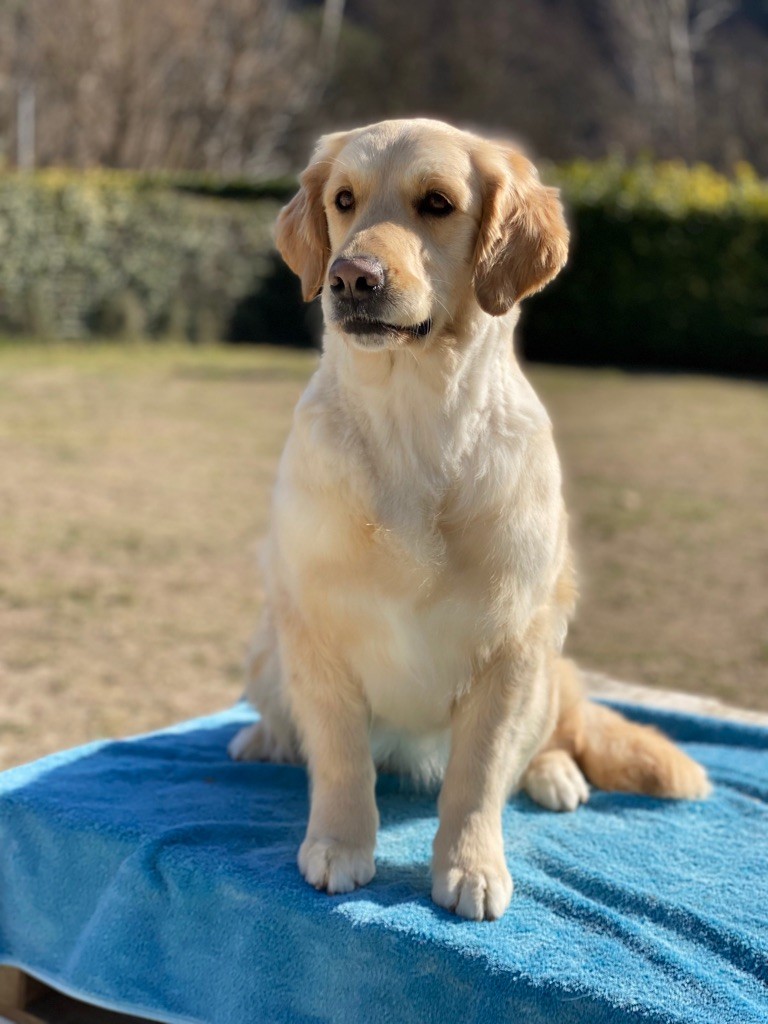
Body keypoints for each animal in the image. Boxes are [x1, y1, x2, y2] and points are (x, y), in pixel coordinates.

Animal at [231, 117, 712, 921]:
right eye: (343, 200)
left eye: (437, 203)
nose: (351, 277)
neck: (415, 422)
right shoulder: (316, 628)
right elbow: (340, 760)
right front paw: (338, 845)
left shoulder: (513, 644)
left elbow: (478, 776)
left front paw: (471, 865)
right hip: (267, 651)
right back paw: (264, 739)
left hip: (550, 664)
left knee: (547, 742)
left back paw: (555, 776)